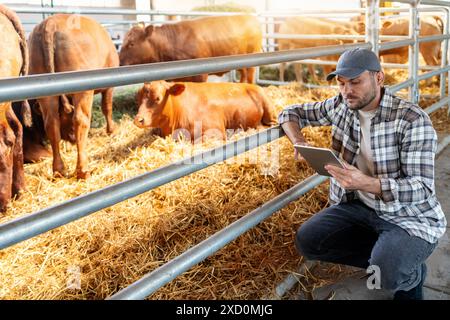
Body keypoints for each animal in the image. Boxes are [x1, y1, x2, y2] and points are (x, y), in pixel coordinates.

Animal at [27, 15, 119, 179]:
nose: (72, 139)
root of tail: (50, 23)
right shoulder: (109, 87)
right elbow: (107, 107)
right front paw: (111, 130)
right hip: (83, 90)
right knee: (81, 120)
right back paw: (83, 170)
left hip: (46, 93)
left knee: (51, 124)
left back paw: (58, 170)